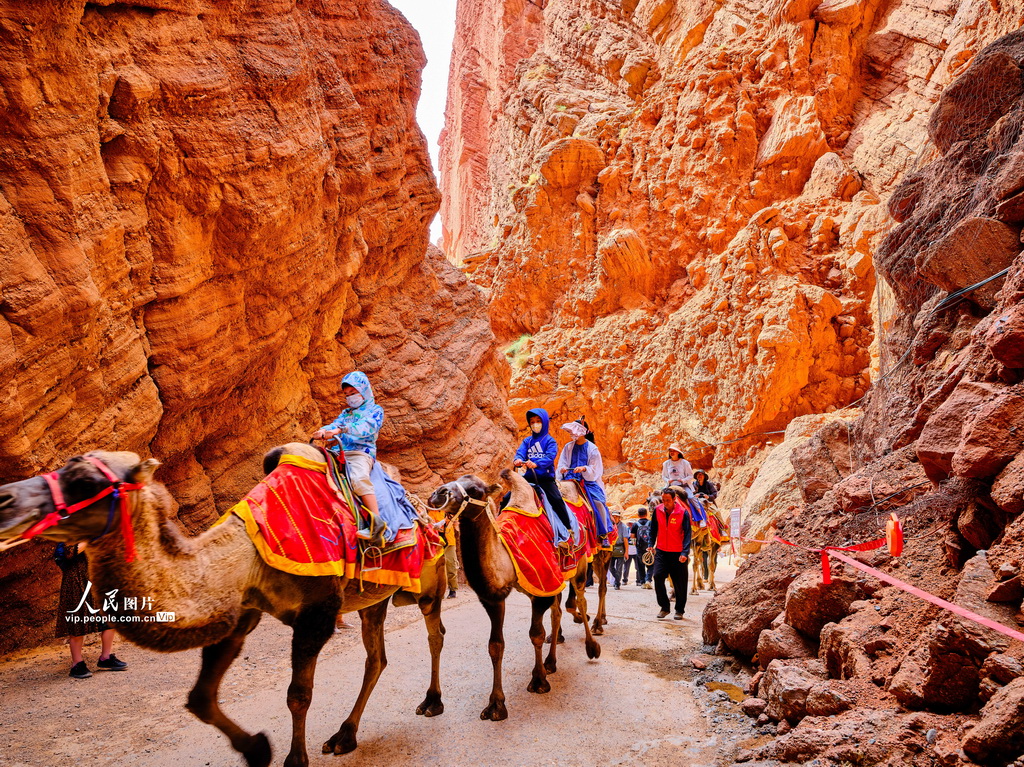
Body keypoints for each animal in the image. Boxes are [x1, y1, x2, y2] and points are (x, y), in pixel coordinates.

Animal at [0, 442, 448, 765]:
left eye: (84, 480)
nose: (5, 499)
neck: (247, 554)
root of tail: (423, 508)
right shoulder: (242, 612)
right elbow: (200, 698)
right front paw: (258, 749)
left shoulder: (316, 613)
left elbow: (298, 694)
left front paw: (293, 760)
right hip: (376, 594)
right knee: (376, 657)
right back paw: (345, 736)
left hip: (430, 575)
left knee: (435, 631)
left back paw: (431, 703)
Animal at [425, 462, 598, 720]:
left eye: (475, 489)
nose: (439, 493)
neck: (507, 555)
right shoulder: (496, 598)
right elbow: (495, 646)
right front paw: (496, 704)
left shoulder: (541, 587)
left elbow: (536, 634)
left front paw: (538, 681)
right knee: (557, 613)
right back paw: (551, 661)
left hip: (580, 565)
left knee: (581, 599)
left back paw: (591, 646)